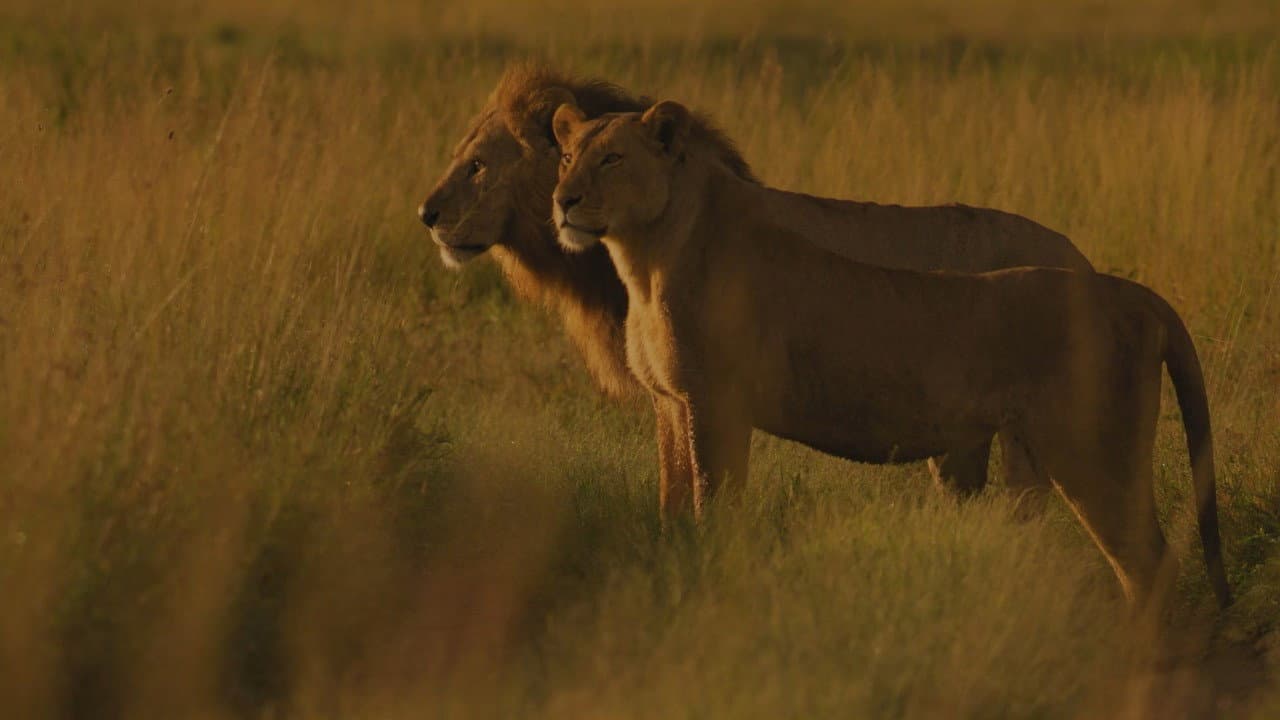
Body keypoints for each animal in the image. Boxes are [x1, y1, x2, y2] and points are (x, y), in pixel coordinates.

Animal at [549, 99, 1231, 611]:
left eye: (612, 159)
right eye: (566, 157)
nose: (563, 201)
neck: (647, 254)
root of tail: (1130, 293)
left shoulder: (716, 403)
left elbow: (714, 507)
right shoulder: (671, 403)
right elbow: (672, 506)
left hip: (1092, 450)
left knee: (1148, 565)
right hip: (1037, 451)